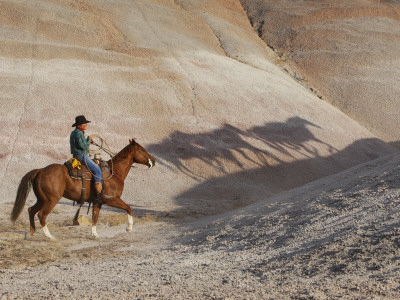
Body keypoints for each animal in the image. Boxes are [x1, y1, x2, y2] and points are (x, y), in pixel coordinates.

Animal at [10, 138, 155, 239]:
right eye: (142, 149)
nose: (153, 161)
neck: (114, 172)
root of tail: (40, 170)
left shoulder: (98, 202)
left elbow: (95, 217)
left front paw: (95, 234)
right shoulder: (111, 199)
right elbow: (129, 208)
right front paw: (129, 228)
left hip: (42, 199)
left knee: (31, 210)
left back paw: (31, 232)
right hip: (51, 200)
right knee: (42, 215)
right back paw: (49, 236)